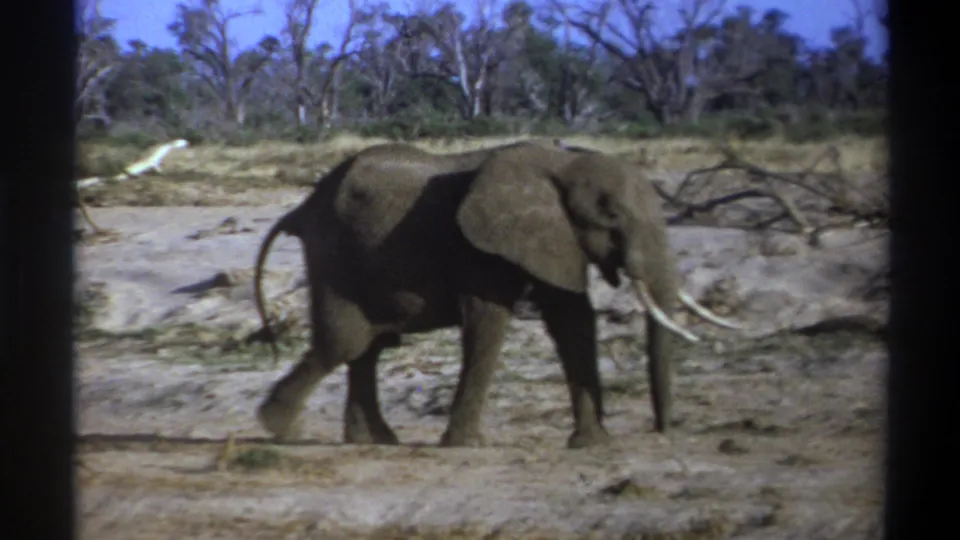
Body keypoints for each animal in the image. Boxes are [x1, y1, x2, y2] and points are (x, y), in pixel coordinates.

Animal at [251, 141, 740, 449]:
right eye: (612, 217)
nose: (661, 433)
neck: (561, 164)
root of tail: (302, 206)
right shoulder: (482, 247)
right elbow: (489, 322)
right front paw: (466, 446)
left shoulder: (553, 240)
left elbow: (573, 321)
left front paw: (593, 445)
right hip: (334, 254)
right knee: (346, 341)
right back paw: (278, 428)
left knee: (368, 346)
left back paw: (374, 441)